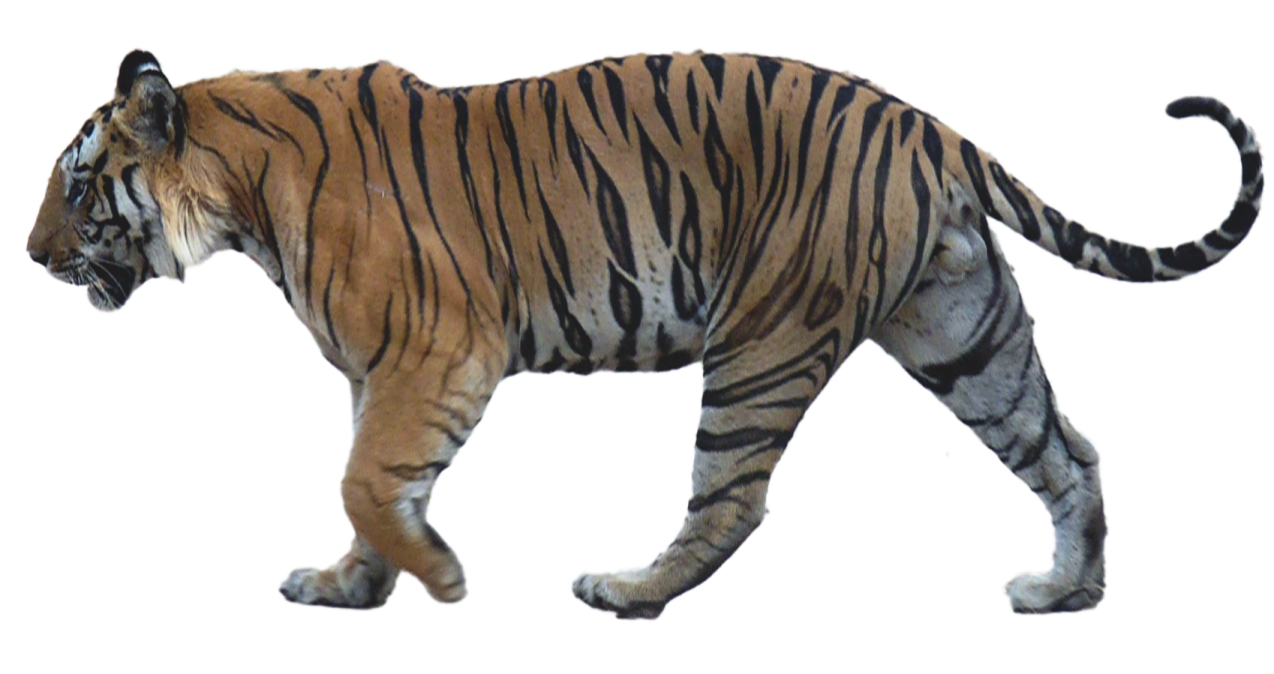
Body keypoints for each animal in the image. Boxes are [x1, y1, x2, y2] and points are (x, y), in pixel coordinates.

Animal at [24, 46, 1263, 620]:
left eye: (79, 185)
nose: (31, 255)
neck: (241, 188)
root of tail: (926, 124)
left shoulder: (436, 354)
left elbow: (367, 479)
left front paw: (440, 577)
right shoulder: (376, 373)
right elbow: (363, 485)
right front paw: (348, 585)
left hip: (762, 342)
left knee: (731, 497)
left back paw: (623, 589)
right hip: (963, 332)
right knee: (1070, 449)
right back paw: (1065, 592)